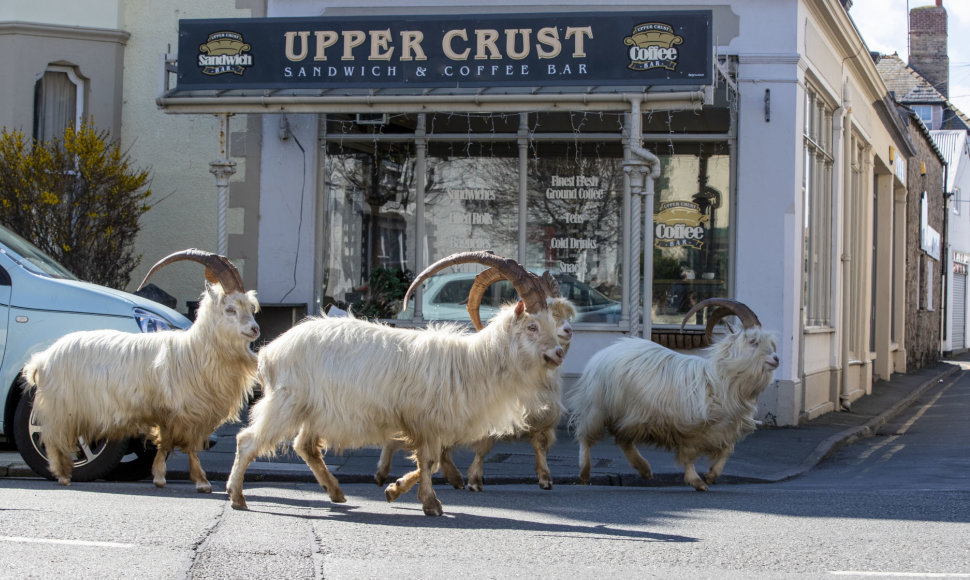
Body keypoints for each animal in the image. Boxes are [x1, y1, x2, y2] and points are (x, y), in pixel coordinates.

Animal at [25, 250, 260, 494]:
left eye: (251, 308)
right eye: (230, 309)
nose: (255, 330)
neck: (194, 350)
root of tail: (43, 359)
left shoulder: (174, 413)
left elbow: (167, 442)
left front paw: (159, 476)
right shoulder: (182, 411)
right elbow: (186, 445)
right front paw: (201, 482)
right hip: (61, 406)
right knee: (53, 438)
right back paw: (62, 475)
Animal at [372, 270, 576, 490]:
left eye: (561, 316)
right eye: (532, 326)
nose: (560, 349)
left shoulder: (541, 418)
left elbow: (540, 444)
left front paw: (545, 478)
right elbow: (479, 447)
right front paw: (474, 481)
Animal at [568, 302, 780, 492]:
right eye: (753, 342)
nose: (776, 359)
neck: (719, 380)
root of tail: (605, 352)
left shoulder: (724, 429)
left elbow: (726, 451)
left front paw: (711, 475)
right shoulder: (690, 429)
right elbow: (688, 456)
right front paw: (697, 481)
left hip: (628, 416)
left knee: (622, 440)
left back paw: (644, 470)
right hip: (597, 407)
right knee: (586, 436)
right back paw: (585, 473)